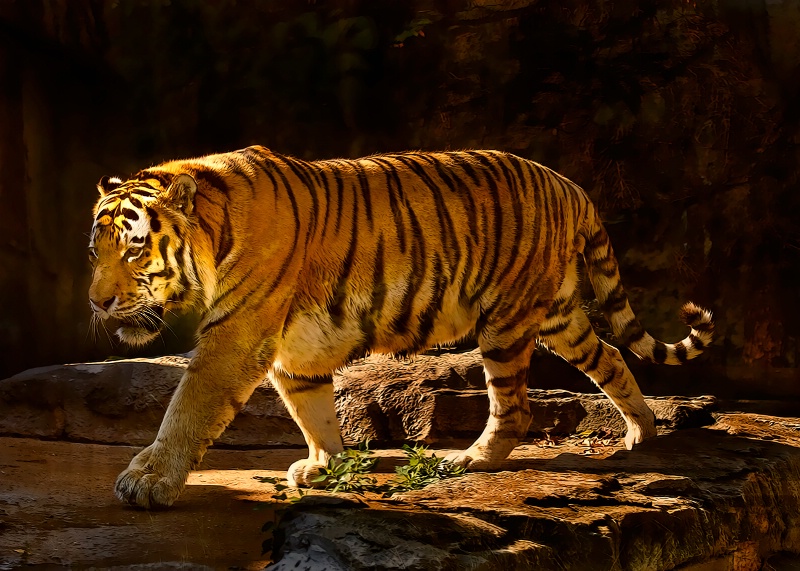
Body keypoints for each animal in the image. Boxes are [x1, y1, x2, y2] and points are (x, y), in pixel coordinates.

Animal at [87, 146, 712, 510]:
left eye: (136, 250)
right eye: (95, 252)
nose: (98, 301)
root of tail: (570, 185)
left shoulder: (235, 336)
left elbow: (187, 409)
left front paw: (148, 481)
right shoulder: (291, 348)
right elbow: (313, 410)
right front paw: (324, 466)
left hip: (506, 322)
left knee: (515, 407)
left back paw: (470, 462)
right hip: (559, 315)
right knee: (611, 354)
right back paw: (642, 432)